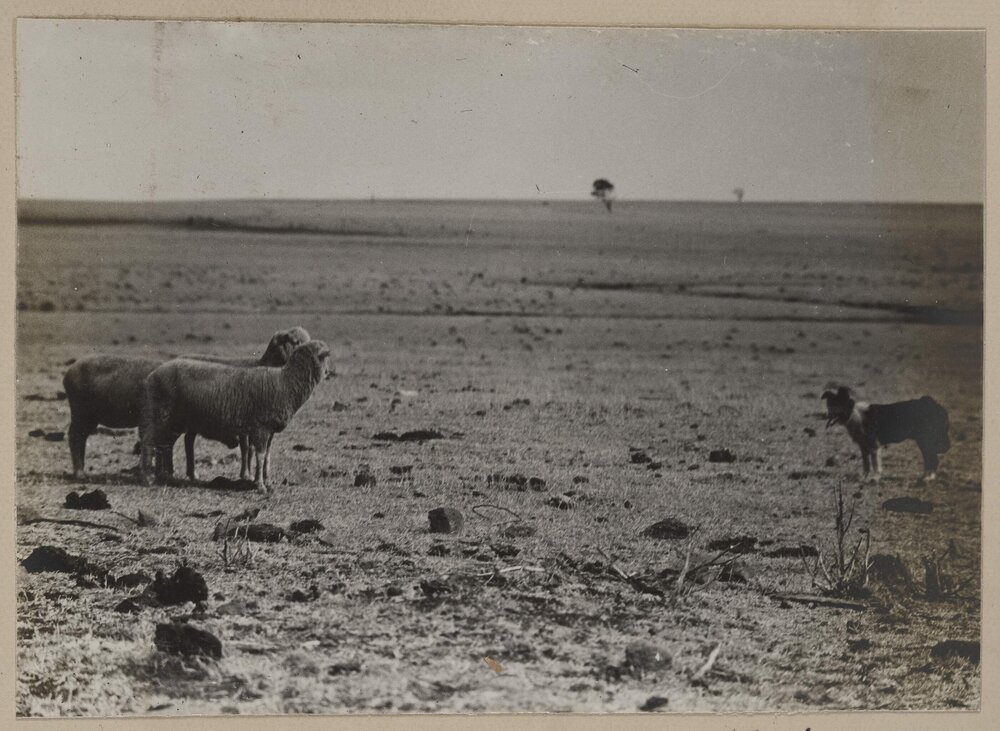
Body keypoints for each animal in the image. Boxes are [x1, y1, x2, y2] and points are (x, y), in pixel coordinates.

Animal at [61, 327, 310, 480]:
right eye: (294, 342)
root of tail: (69, 371)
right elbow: (247, 448)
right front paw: (247, 475)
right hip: (82, 411)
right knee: (75, 437)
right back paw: (80, 472)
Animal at [141, 340, 331, 494]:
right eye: (325, 356)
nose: (329, 373)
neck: (287, 382)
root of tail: (152, 375)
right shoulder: (261, 427)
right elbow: (260, 456)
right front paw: (260, 485)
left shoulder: (270, 431)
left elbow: (267, 457)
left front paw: (268, 483)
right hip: (162, 414)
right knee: (149, 441)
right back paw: (149, 477)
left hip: (175, 421)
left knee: (164, 444)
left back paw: (164, 476)